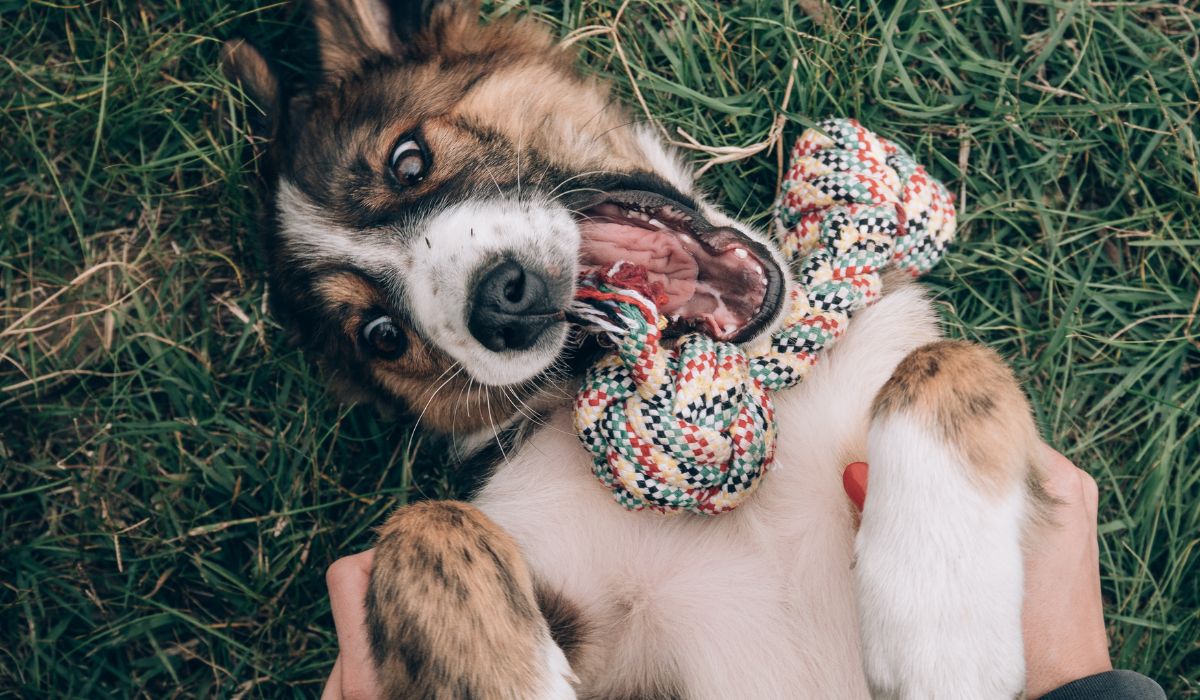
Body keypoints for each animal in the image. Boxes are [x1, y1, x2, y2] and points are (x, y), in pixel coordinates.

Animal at [225, 2, 1051, 696]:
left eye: (408, 161)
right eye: (383, 337)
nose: (502, 303)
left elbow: (951, 361)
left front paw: (941, 620)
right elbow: (422, 526)